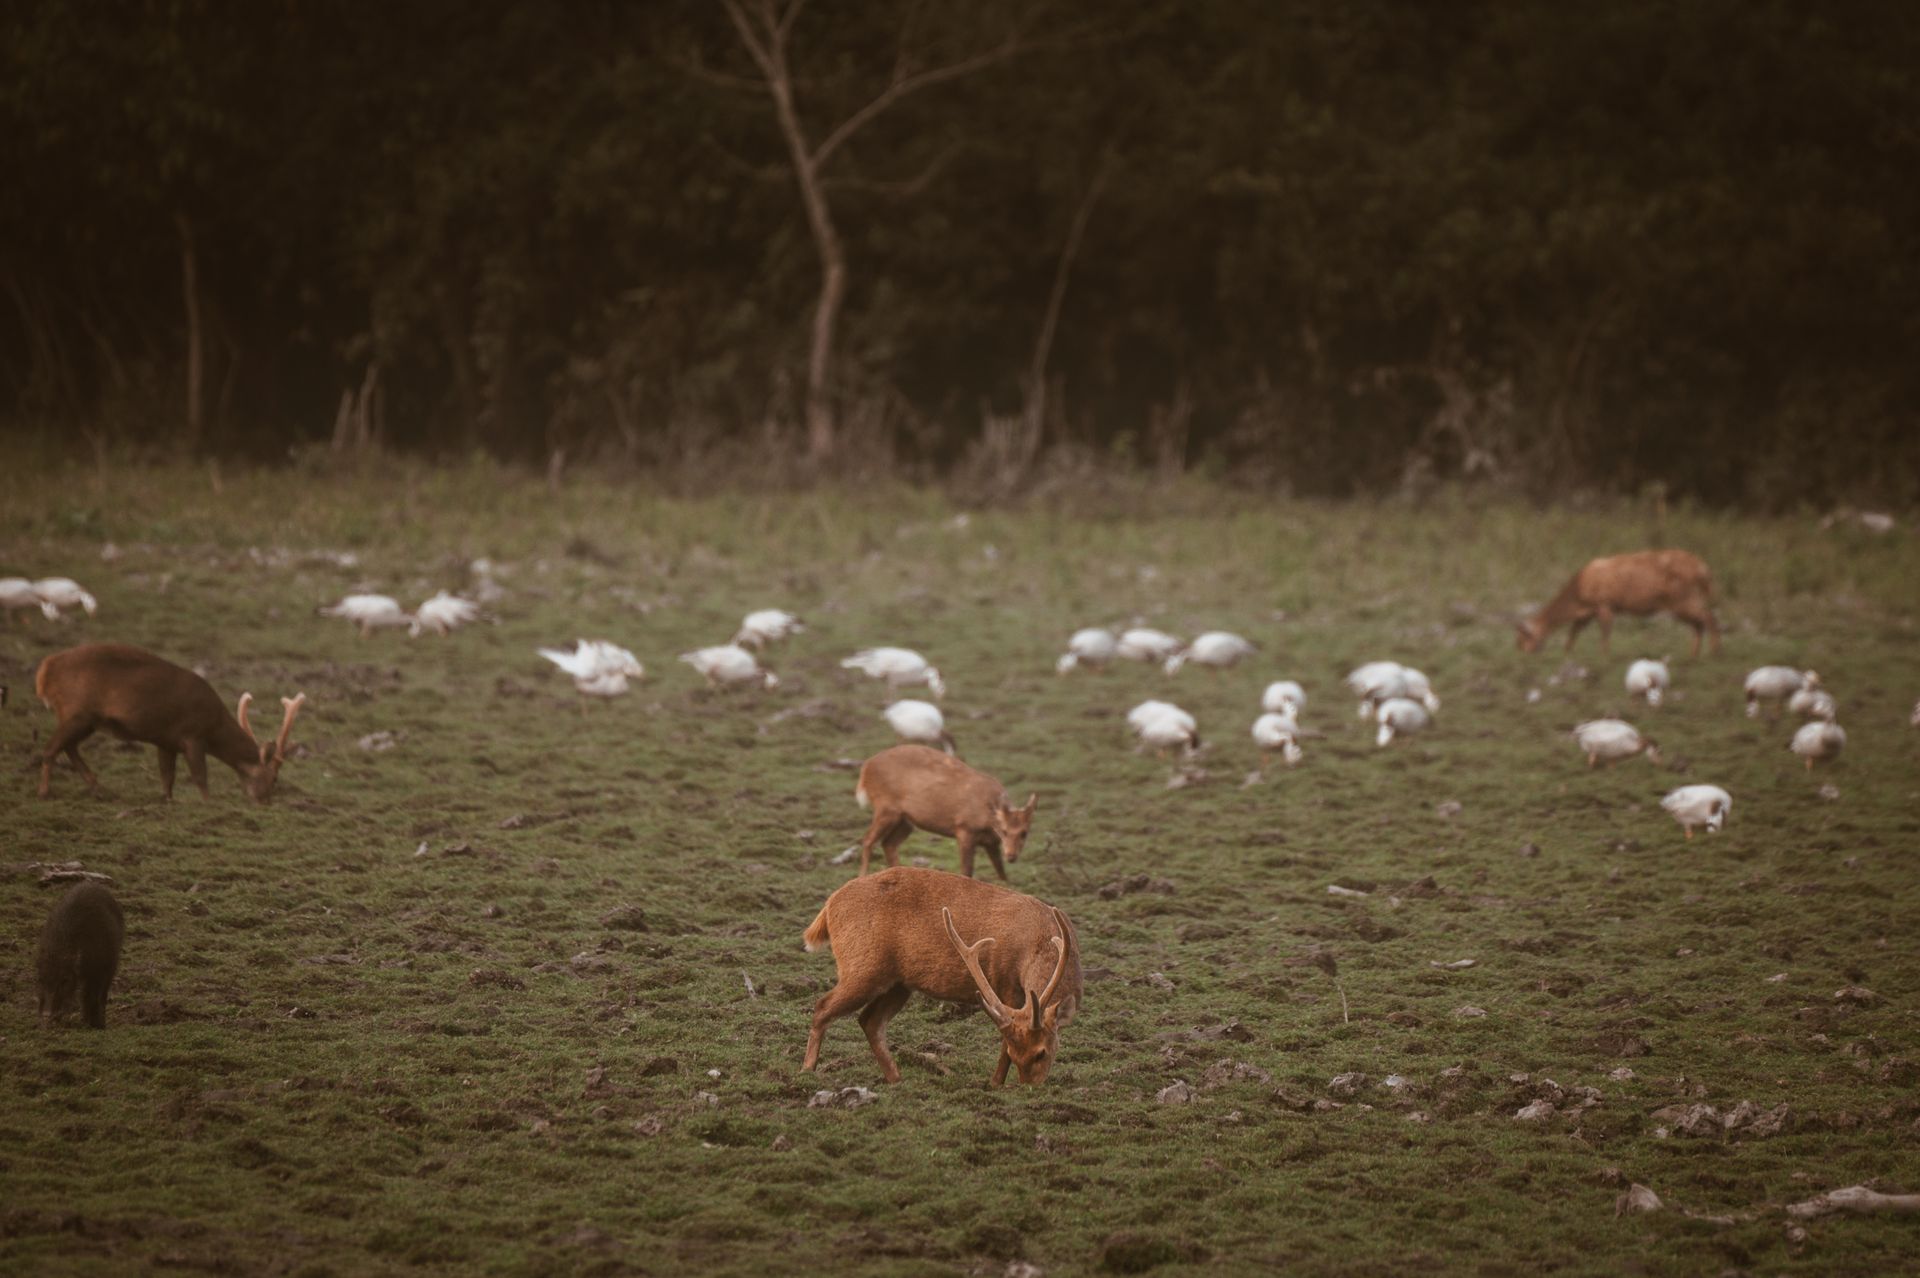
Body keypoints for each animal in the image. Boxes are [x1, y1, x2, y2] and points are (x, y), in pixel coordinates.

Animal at [34, 643, 307, 802]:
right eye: (274, 778)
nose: (265, 801)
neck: (215, 726)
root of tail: (45, 670)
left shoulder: (166, 741)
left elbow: (167, 777)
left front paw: (167, 800)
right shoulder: (192, 735)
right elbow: (200, 776)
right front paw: (208, 803)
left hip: (84, 719)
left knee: (67, 747)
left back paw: (97, 787)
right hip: (77, 711)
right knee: (51, 748)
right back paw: (45, 791)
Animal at [800, 866, 1081, 1085]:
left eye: (1041, 1053)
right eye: (1029, 1053)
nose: (1029, 1087)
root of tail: (829, 906)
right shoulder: (1005, 986)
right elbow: (1002, 1040)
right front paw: (995, 1083)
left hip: (898, 983)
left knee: (870, 1020)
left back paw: (896, 1079)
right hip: (862, 967)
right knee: (822, 1007)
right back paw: (807, 1070)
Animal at [848, 744, 1036, 880]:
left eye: (1024, 832)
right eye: (1004, 831)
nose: (1011, 856)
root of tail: (866, 767)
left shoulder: (991, 843)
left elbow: (1002, 874)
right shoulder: (964, 829)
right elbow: (967, 871)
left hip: (905, 820)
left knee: (888, 843)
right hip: (886, 807)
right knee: (868, 840)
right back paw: (861, 877)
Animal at [1516, 550, 1720, 658]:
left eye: (1524, 639)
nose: (1522, 654)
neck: (1579, 593)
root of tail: (1704, 570)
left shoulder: (1604, 603)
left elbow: (1605, 631)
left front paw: (1604, 656)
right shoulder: (1589, 610)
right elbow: (1574, 631)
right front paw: (1567, 653)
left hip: (1682, 598)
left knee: (1708, 618)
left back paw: (1712, 653)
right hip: (1684, 601)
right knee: (1699, 623)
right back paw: (1694, 655)